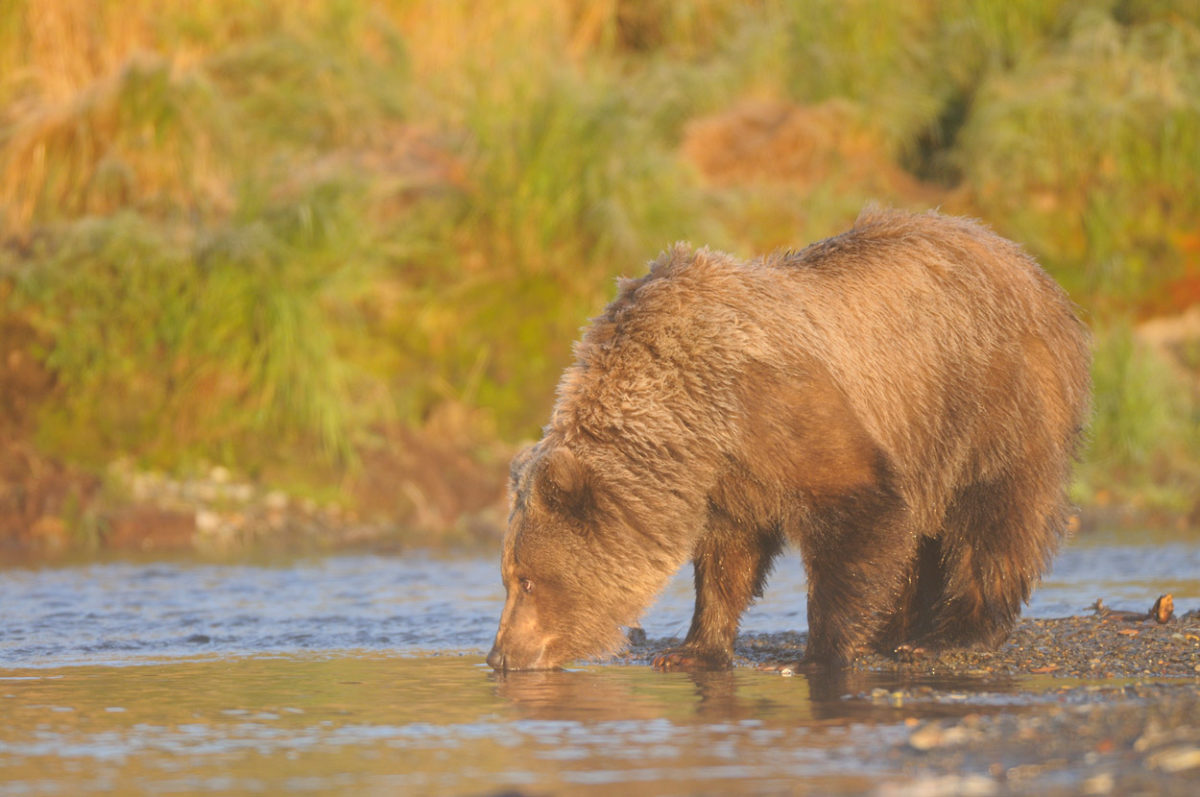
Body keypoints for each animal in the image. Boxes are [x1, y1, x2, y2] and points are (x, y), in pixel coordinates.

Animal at [482, 206, 1094, 672]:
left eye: (527, 581)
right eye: (510, 578)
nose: (499, 656)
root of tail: (1030, 265)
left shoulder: (782, 409)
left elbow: (858, 514)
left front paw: (822, 650)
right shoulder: (730, 471)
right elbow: (727, 557)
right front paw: (692, 649)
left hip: (988, 397)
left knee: (994, 516)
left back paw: (949, 634)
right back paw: (900, 626)